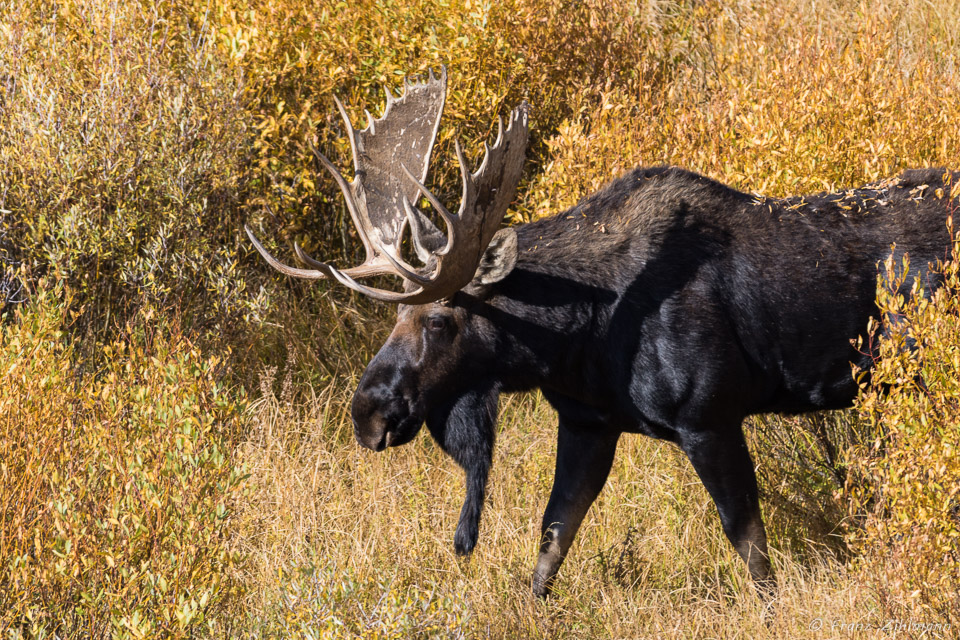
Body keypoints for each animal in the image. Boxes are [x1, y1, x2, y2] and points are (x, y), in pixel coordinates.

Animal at [249, 67, 960, 596]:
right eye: (394, 315)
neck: (577, 338)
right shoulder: (588, 422)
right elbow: (552, 536)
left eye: (441, 319)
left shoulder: (710, 417)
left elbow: (750, 545)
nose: (367, 412)